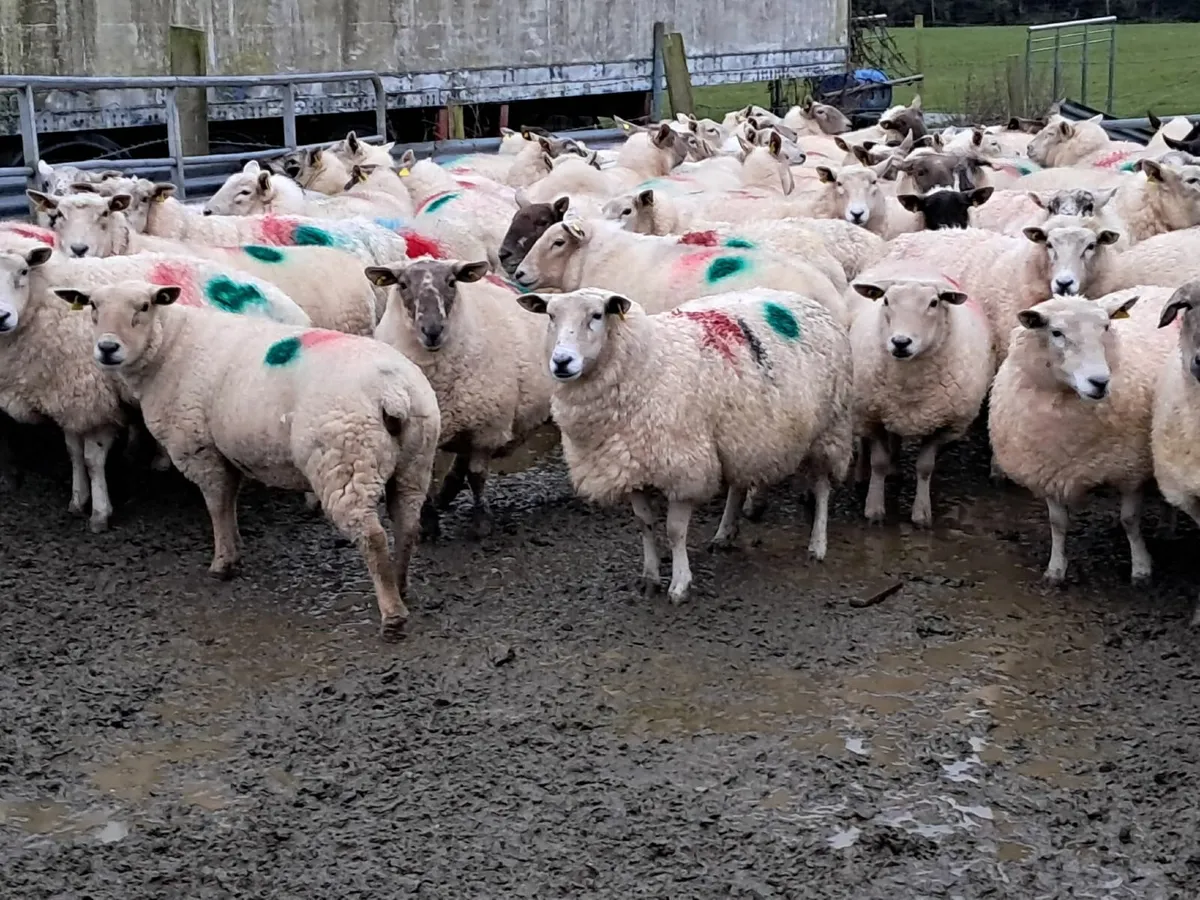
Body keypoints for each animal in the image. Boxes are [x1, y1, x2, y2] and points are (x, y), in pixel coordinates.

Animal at [65, 279, 440, 640]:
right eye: (92, 306)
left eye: (144, 306)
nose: (107, 348)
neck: (170, 348)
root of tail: (394, 392)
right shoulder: (228, 450)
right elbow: (229, 502)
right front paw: (234, 548)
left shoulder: (199, 447)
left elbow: (216, 505)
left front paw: (222, 563)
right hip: (415, 461)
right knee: (407, 524)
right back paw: (401, 584)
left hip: (346, 461)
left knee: (372, 536)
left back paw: (392, 615)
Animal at [368, 257, 553, 538]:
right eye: (402, 284)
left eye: (452, 282)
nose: (432, 330)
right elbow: (429, 477)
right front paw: (428, 522)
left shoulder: (487, 428)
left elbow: (477, 476)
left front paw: (481, 522)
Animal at [515, 286, 853, 601]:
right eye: (550, 316)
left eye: (597, 315)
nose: (562, 362)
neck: (648, 364)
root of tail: (802, 299)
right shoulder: (632, 463)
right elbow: (644, 523)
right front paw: (650, 577)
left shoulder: (682, 465)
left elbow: (675, 531)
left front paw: (679, 584)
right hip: (742, 433)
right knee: (738, 483)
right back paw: (724, 533)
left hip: (830, 428)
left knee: (822, 487)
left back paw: (817, 544)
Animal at [848, 272, 995, 526]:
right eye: (886, 301)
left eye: (934, 303)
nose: (900, 342)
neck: (909, 387)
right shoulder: (871, 416)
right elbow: (878, 463)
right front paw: (874, 509)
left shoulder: (944, 425)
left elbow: (925, 467)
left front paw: (921, 513)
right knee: (866, 442)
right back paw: (861, 474)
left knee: (895, 437)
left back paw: (895, 469)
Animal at [988, 290, 1176, 585]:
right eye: (1056, 332)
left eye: (1107, 327)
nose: (1099, 382)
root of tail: (1156, 288)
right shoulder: (1048, 472)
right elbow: (1057, 523)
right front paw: (1055, 569)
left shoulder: (1131, 469)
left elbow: (1129, 520)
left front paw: (1141, 567)